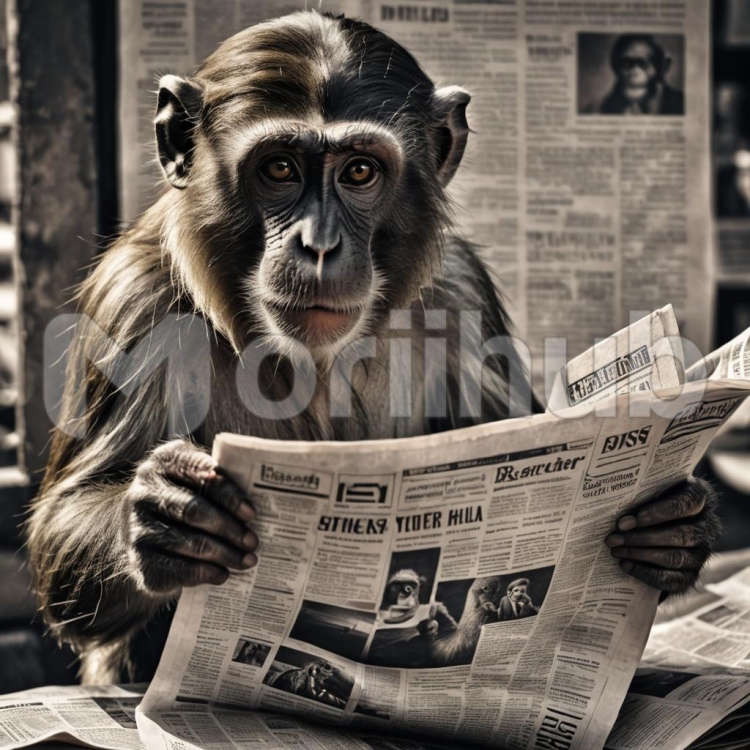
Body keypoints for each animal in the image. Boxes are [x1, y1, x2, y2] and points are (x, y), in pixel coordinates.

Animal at [26, 11, 720, 685]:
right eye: (279, 168)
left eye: (360, 171)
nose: (320, 243)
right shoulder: (132, 300)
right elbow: (65, 526)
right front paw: (164, 519)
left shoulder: (464, 294)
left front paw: (674, 526)